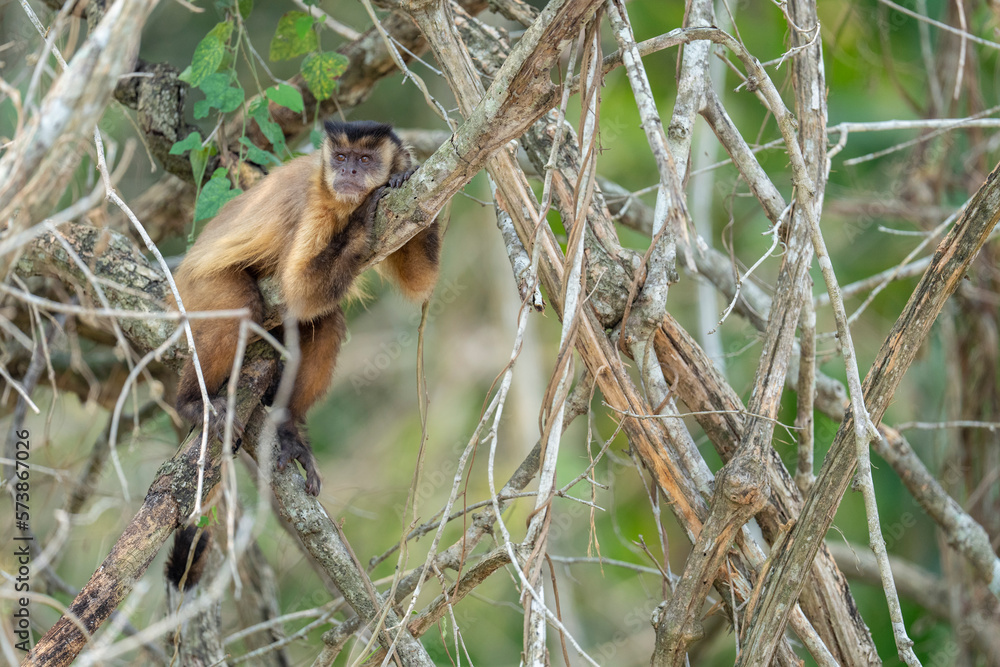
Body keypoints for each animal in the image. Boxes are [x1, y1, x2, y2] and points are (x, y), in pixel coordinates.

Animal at [173, 120, 440, 495]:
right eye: (340, 156)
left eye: (365, 159)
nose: (348, 171)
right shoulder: (317, 203)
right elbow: (299, 289)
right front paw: (361, 218)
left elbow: (420, 280)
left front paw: (403, 171)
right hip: (196, 290)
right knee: (244, 309)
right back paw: (192, 403)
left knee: (326, 321)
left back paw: (289, 429)